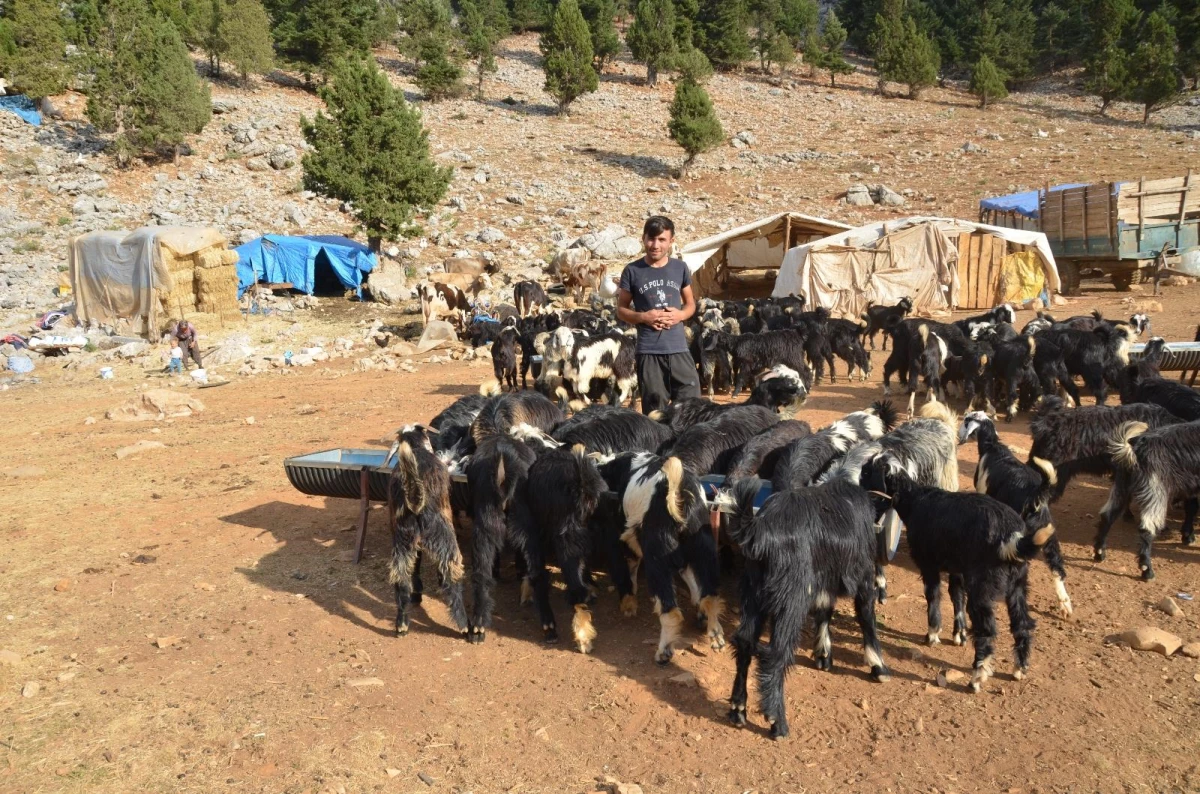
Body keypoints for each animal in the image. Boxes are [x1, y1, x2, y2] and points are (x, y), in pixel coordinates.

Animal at [859, 458, 1056, 695]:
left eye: (867, 472)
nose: (857, 485)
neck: (915, 499)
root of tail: (1012, 538)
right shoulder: (957, 568)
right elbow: (956, 597)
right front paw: (959, 634)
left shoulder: (929, 564)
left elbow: (933, 597)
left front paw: (932, 634)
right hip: (1018, 585)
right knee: (1023, 624)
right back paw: (1020, 668)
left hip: (982, 588)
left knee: (987, 631)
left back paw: (977, 678)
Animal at [960, 412, 1075, 618]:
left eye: (966, 420)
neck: (992, 447)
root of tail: (1035, 495)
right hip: (1048, 534)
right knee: (1057, 568)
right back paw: (1065, 605)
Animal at [1099, 422, 1200, 585]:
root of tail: (1134, 449)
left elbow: (1191, 508)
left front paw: (1187, 536)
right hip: (1154, 490)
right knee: (1146, 530)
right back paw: (1147, 571)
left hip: (1122, 485)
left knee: (1108, 516)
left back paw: (1099, 553)